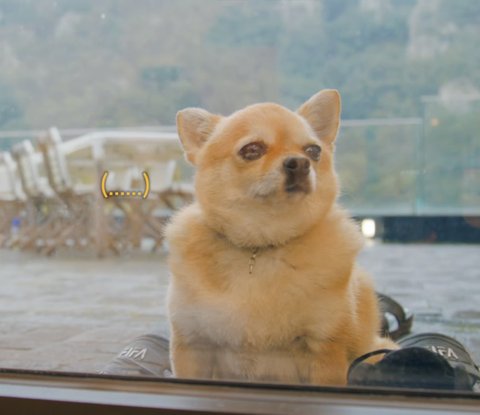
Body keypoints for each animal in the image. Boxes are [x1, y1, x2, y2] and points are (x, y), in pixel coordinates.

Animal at [165, 89, 397, 385]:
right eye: (252, 150)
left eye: (313, 151)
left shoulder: (324, 353)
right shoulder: (194, 346)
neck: (261, 246)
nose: (300, 163)